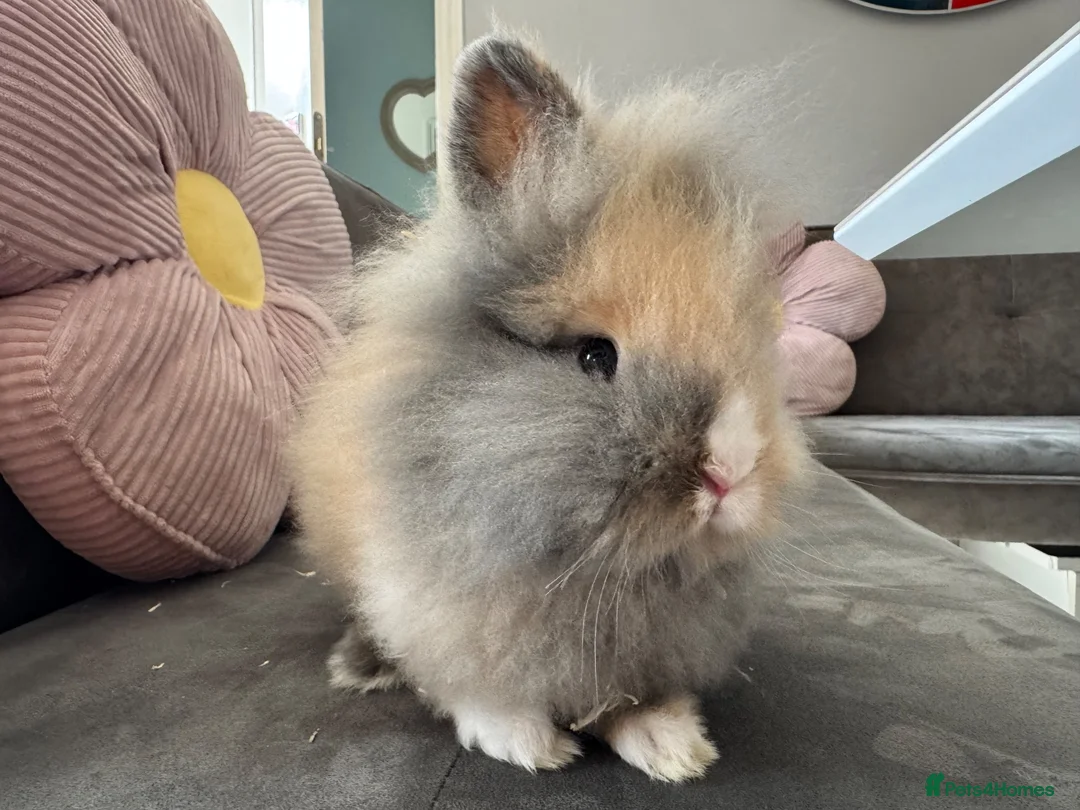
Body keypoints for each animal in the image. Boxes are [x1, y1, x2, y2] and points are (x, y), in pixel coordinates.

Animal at [289, 30, 811, 783]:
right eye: (595, 356)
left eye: (753, 338)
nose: (731, 471)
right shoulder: (433, 607)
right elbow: (476, 687)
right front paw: (526, 745)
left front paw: (674, 747)